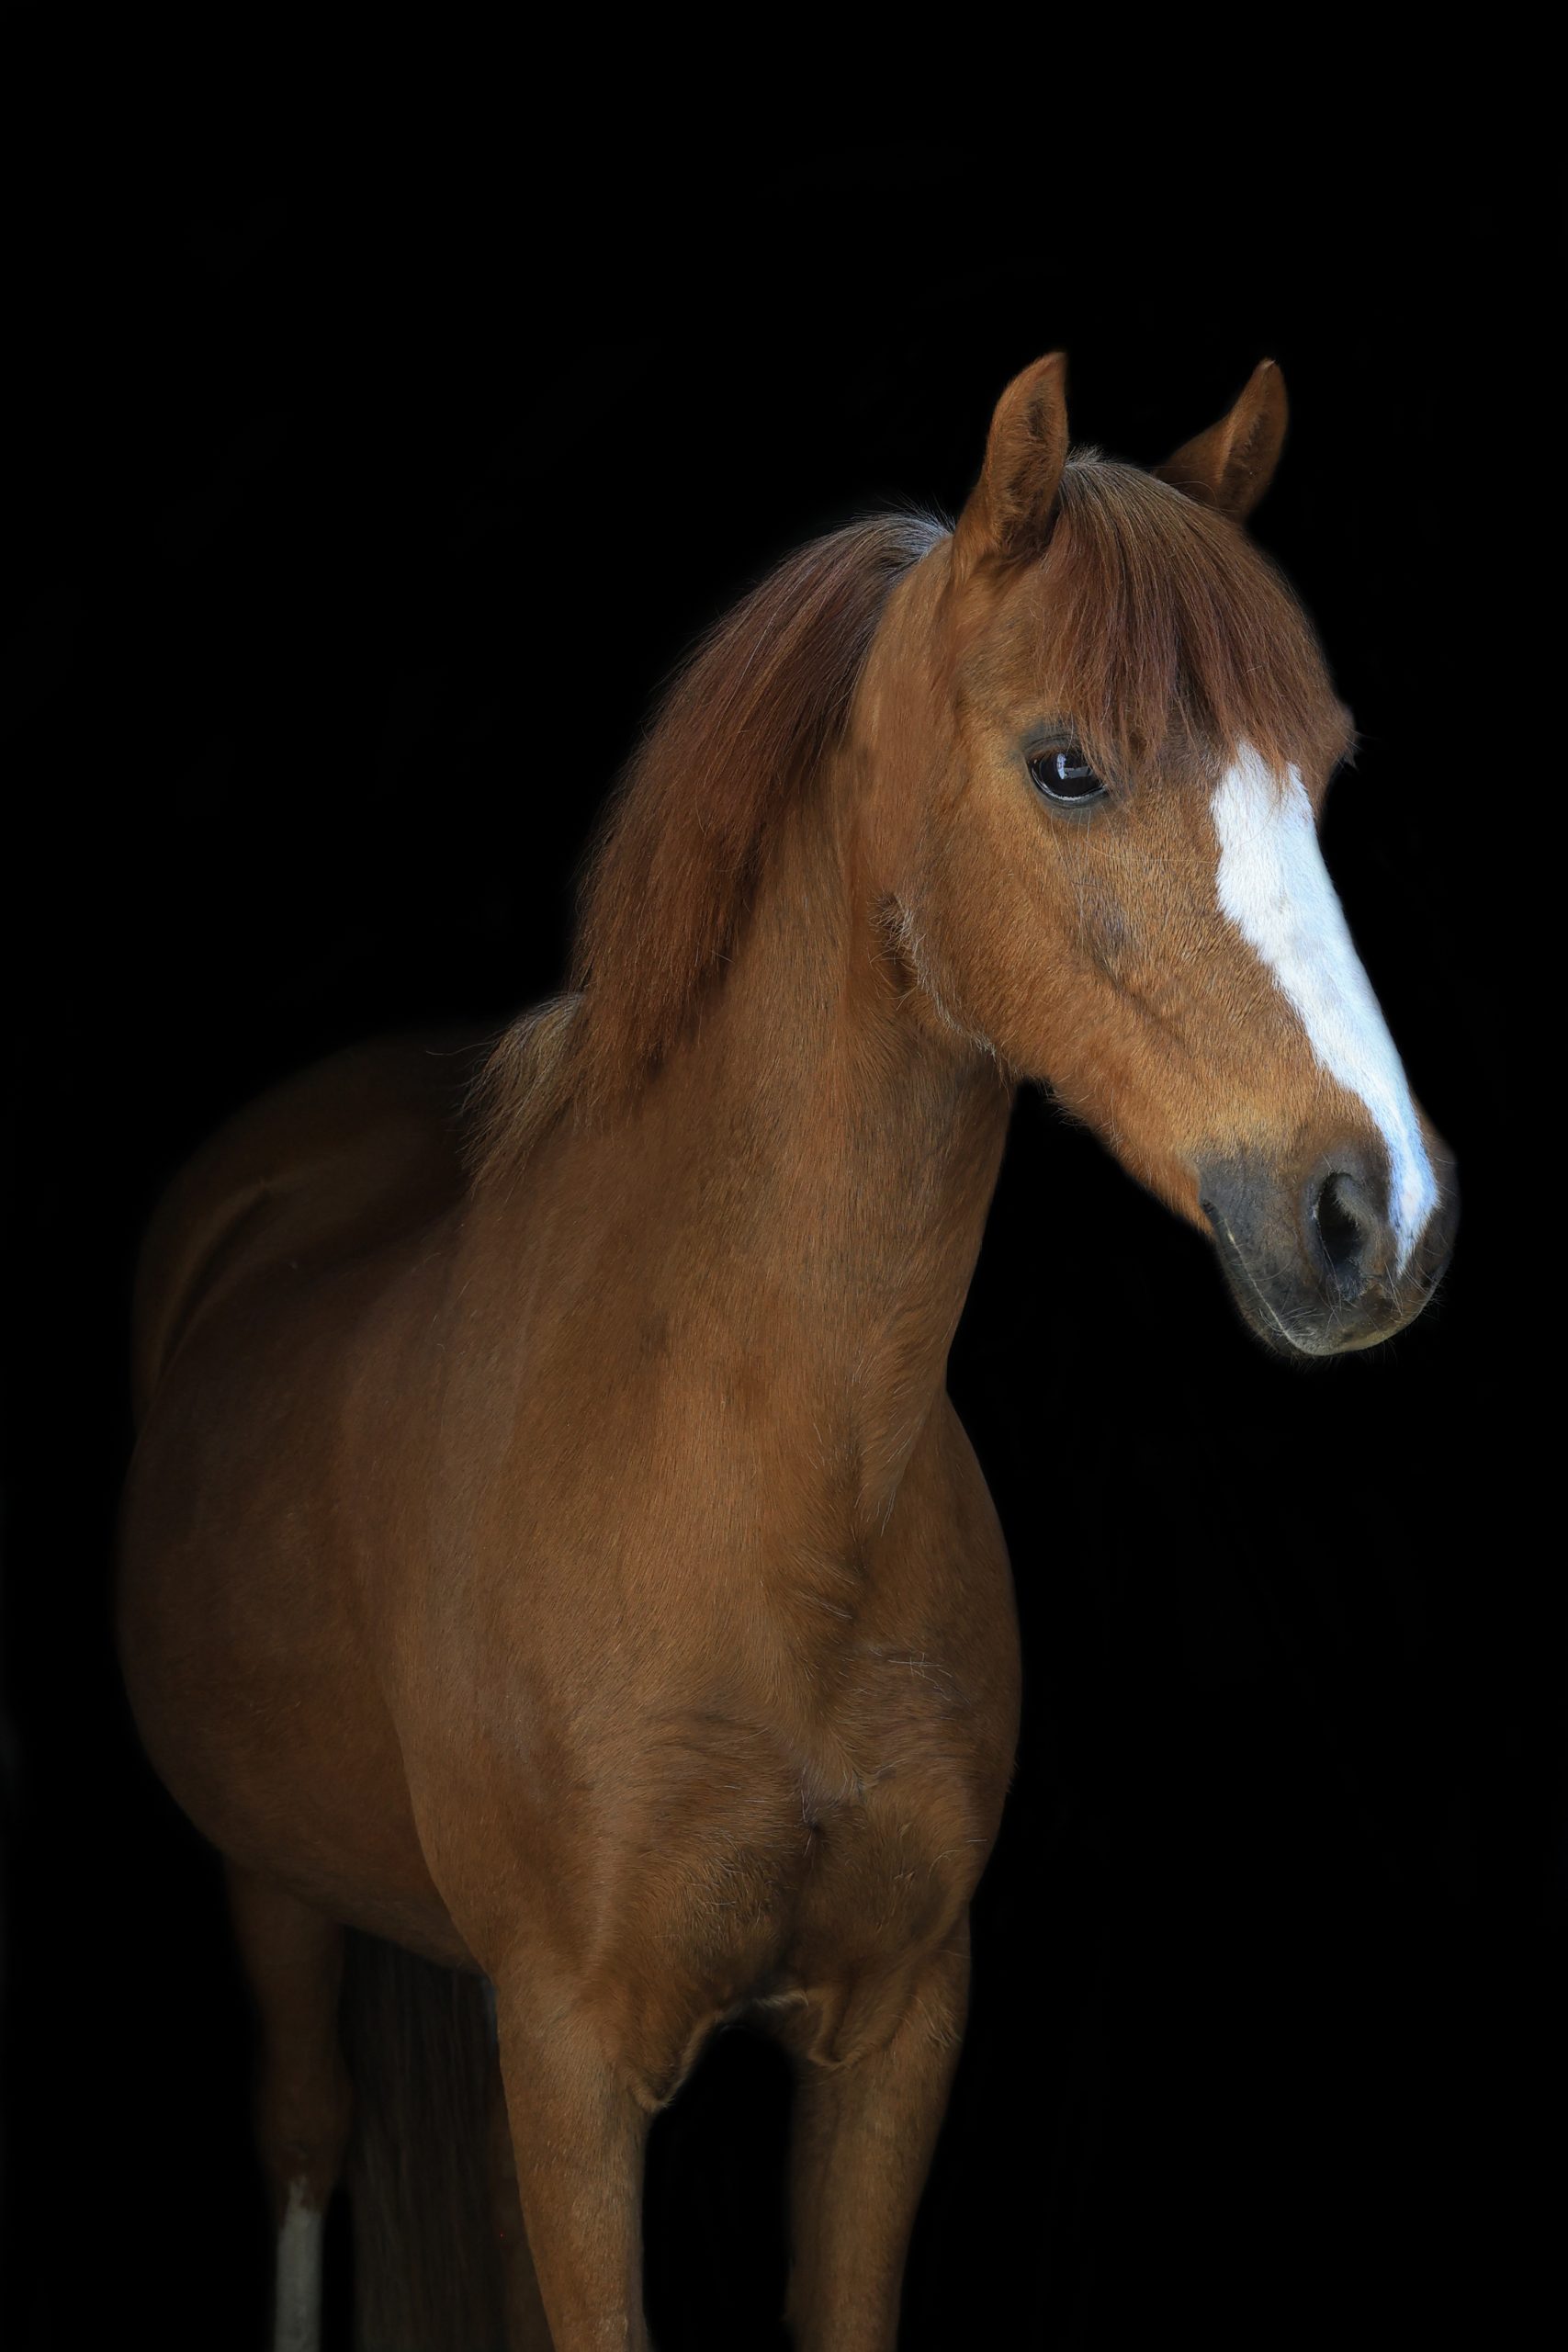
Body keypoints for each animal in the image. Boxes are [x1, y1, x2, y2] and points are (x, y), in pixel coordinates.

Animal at [117, 350, 1458, 2352]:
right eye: (1066, 761)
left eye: (1319, 774)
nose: (1377, 1214)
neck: (755, 1484)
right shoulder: (576, 2063)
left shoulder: (894, 2035)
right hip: (272, 1898)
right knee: (298, 2155)